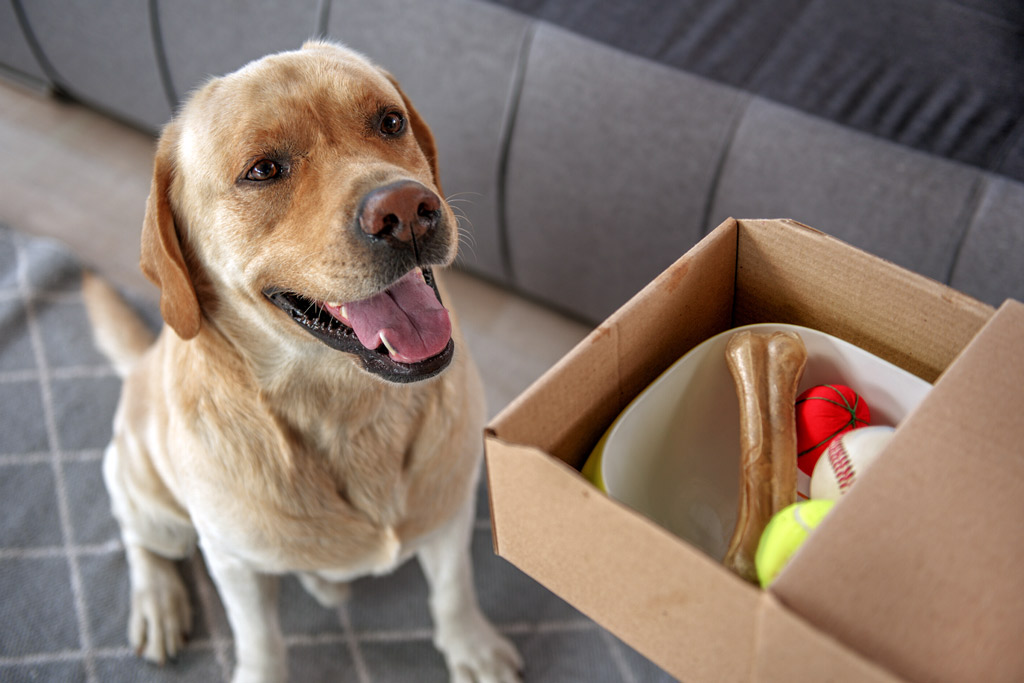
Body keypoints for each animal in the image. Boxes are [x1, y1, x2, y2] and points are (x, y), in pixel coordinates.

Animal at [83, 41, 524, 683]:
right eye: (263, 170)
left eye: (390, 122)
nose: (407, 211)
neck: (345, 405)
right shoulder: (232, 562)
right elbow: (261, 640)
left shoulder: (450, 511)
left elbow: (453, 591)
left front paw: (472, 647)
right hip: (149, 496)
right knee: (138, 534)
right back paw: (158, 601)